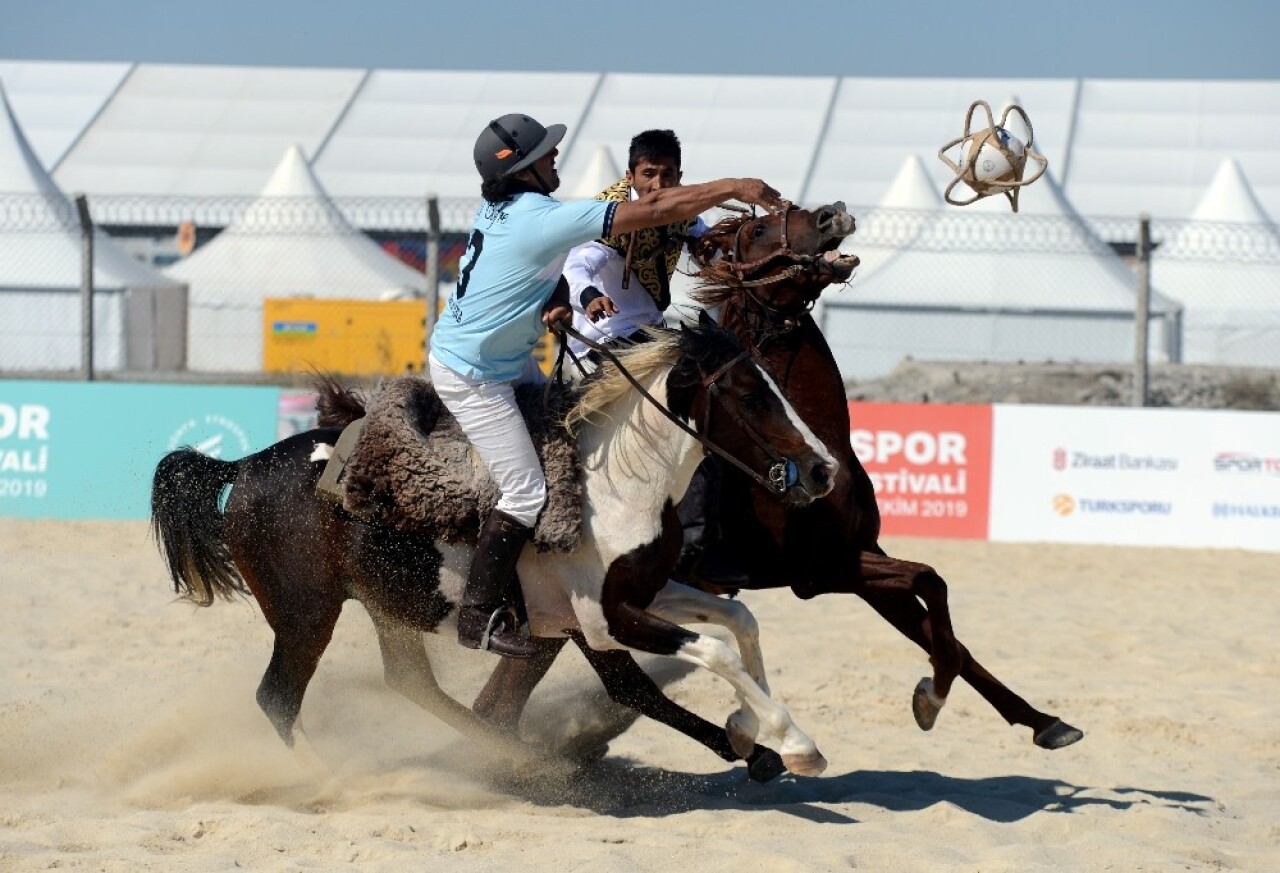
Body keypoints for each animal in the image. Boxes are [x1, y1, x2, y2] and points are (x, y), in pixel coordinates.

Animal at [476, 202, 1085, 747]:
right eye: (760, 229)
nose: (832, 212)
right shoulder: (822, 570)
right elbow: (930, 586)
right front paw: (930, 698)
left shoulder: (860, 555)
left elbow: (943, 626)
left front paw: (1043, 722)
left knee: (503, 701)